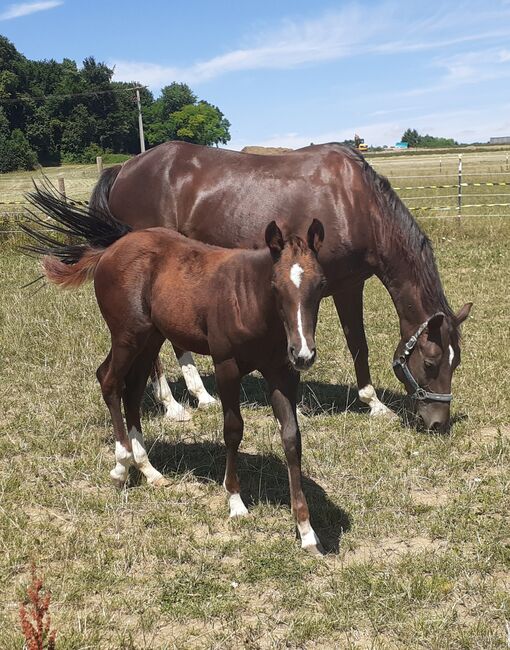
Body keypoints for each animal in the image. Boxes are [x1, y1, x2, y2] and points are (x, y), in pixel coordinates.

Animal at [21, 186, 326, 552]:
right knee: (109, 380)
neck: (250, 301)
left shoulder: (282, 373)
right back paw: (121, 466)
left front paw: (307, 531)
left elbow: (292, 438)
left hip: (150, 337)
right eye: (276, 286)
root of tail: (111, 249)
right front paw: (236, 501)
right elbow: (233, 429)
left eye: (320, 285)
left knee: (132, 391)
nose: (304, 353)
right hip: (128, 334)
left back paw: (149, 469)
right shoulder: (226, 366)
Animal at [89, 140, 472, 430]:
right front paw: (371, 402)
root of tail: (123, 169)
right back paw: (172, 405)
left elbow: (353, 343)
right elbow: (354, 343)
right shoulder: (336, 289)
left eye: (456, 364)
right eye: (432, 362)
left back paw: (202, 396)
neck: (354, 202)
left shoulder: (347, 285)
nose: (438, 422)